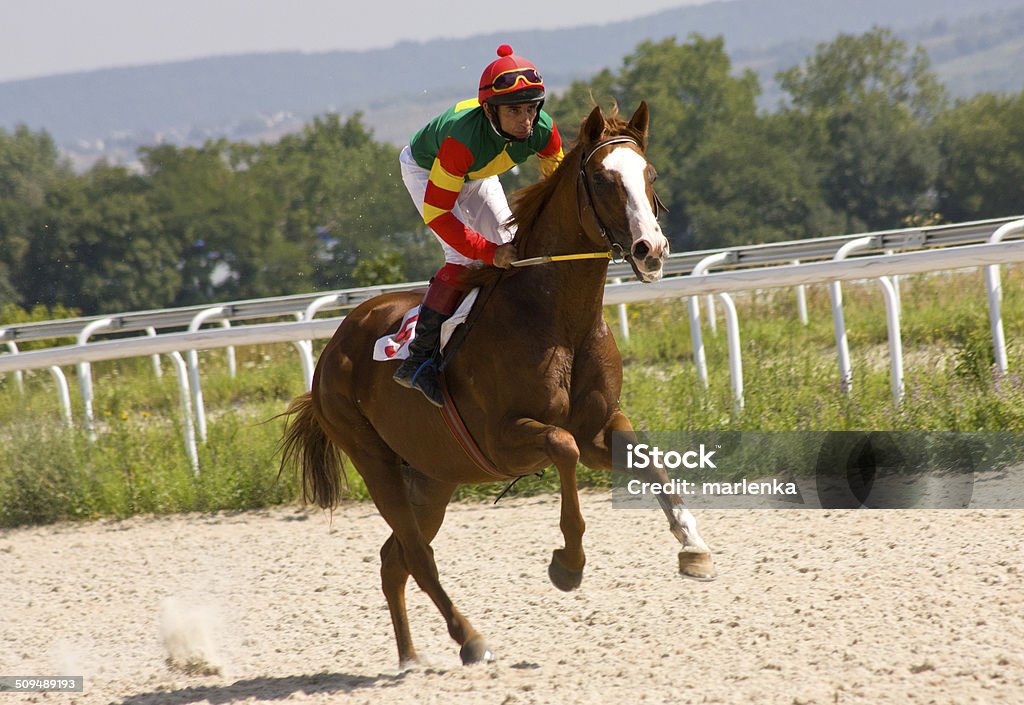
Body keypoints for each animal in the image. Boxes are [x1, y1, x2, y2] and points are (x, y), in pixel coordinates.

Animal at [279, 101, 716, 667]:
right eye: (602, 179)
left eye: (651, 174)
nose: (651, 250)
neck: (559, 319)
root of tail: (334, 348)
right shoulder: (503, 439)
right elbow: (564, 446)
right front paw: (568, 563)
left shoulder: (601, 425)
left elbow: (645, 458)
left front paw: (693, 547)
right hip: (374, 461)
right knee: (417, 556)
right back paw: (469, 637)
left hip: (432, 475)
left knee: (394, 559)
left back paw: (410, 656)